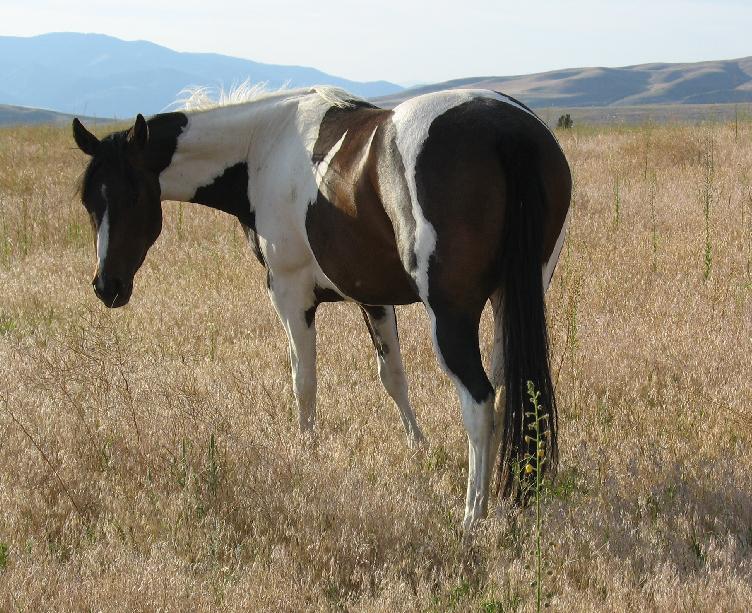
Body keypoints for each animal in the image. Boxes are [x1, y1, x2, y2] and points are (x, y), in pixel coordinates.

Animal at [72, 86, 571, 530]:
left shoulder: (290, 293)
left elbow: (303, 379)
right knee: (510, 391)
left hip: (450, 317)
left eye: (133, 195)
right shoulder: (372, 295)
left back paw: (472, 516)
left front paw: (306, 452)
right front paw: (419, 448)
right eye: (89, 200)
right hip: (511, 302)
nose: (107, 286)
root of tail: (505, 130)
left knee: (480, 401)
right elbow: (393, 377)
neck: (262, 145)